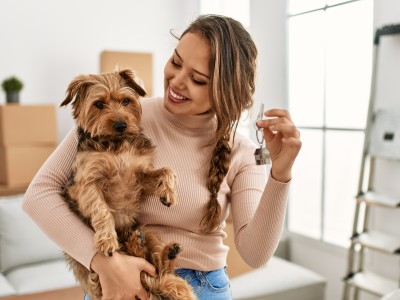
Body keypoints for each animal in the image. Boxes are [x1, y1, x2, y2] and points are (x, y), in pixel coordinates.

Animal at [59, 69, 197, 298]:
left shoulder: (140, 175)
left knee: (156, 267)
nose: (121, 125)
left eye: (126, 101)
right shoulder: (86, 182)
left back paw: (164, 252)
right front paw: (107, 240)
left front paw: (168, 193)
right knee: (143, 270)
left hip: (148, 230)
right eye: (99, 104)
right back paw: (135, 245)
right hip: (92, 273)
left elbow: (166, 170)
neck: (116, 144)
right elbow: (101, 209)